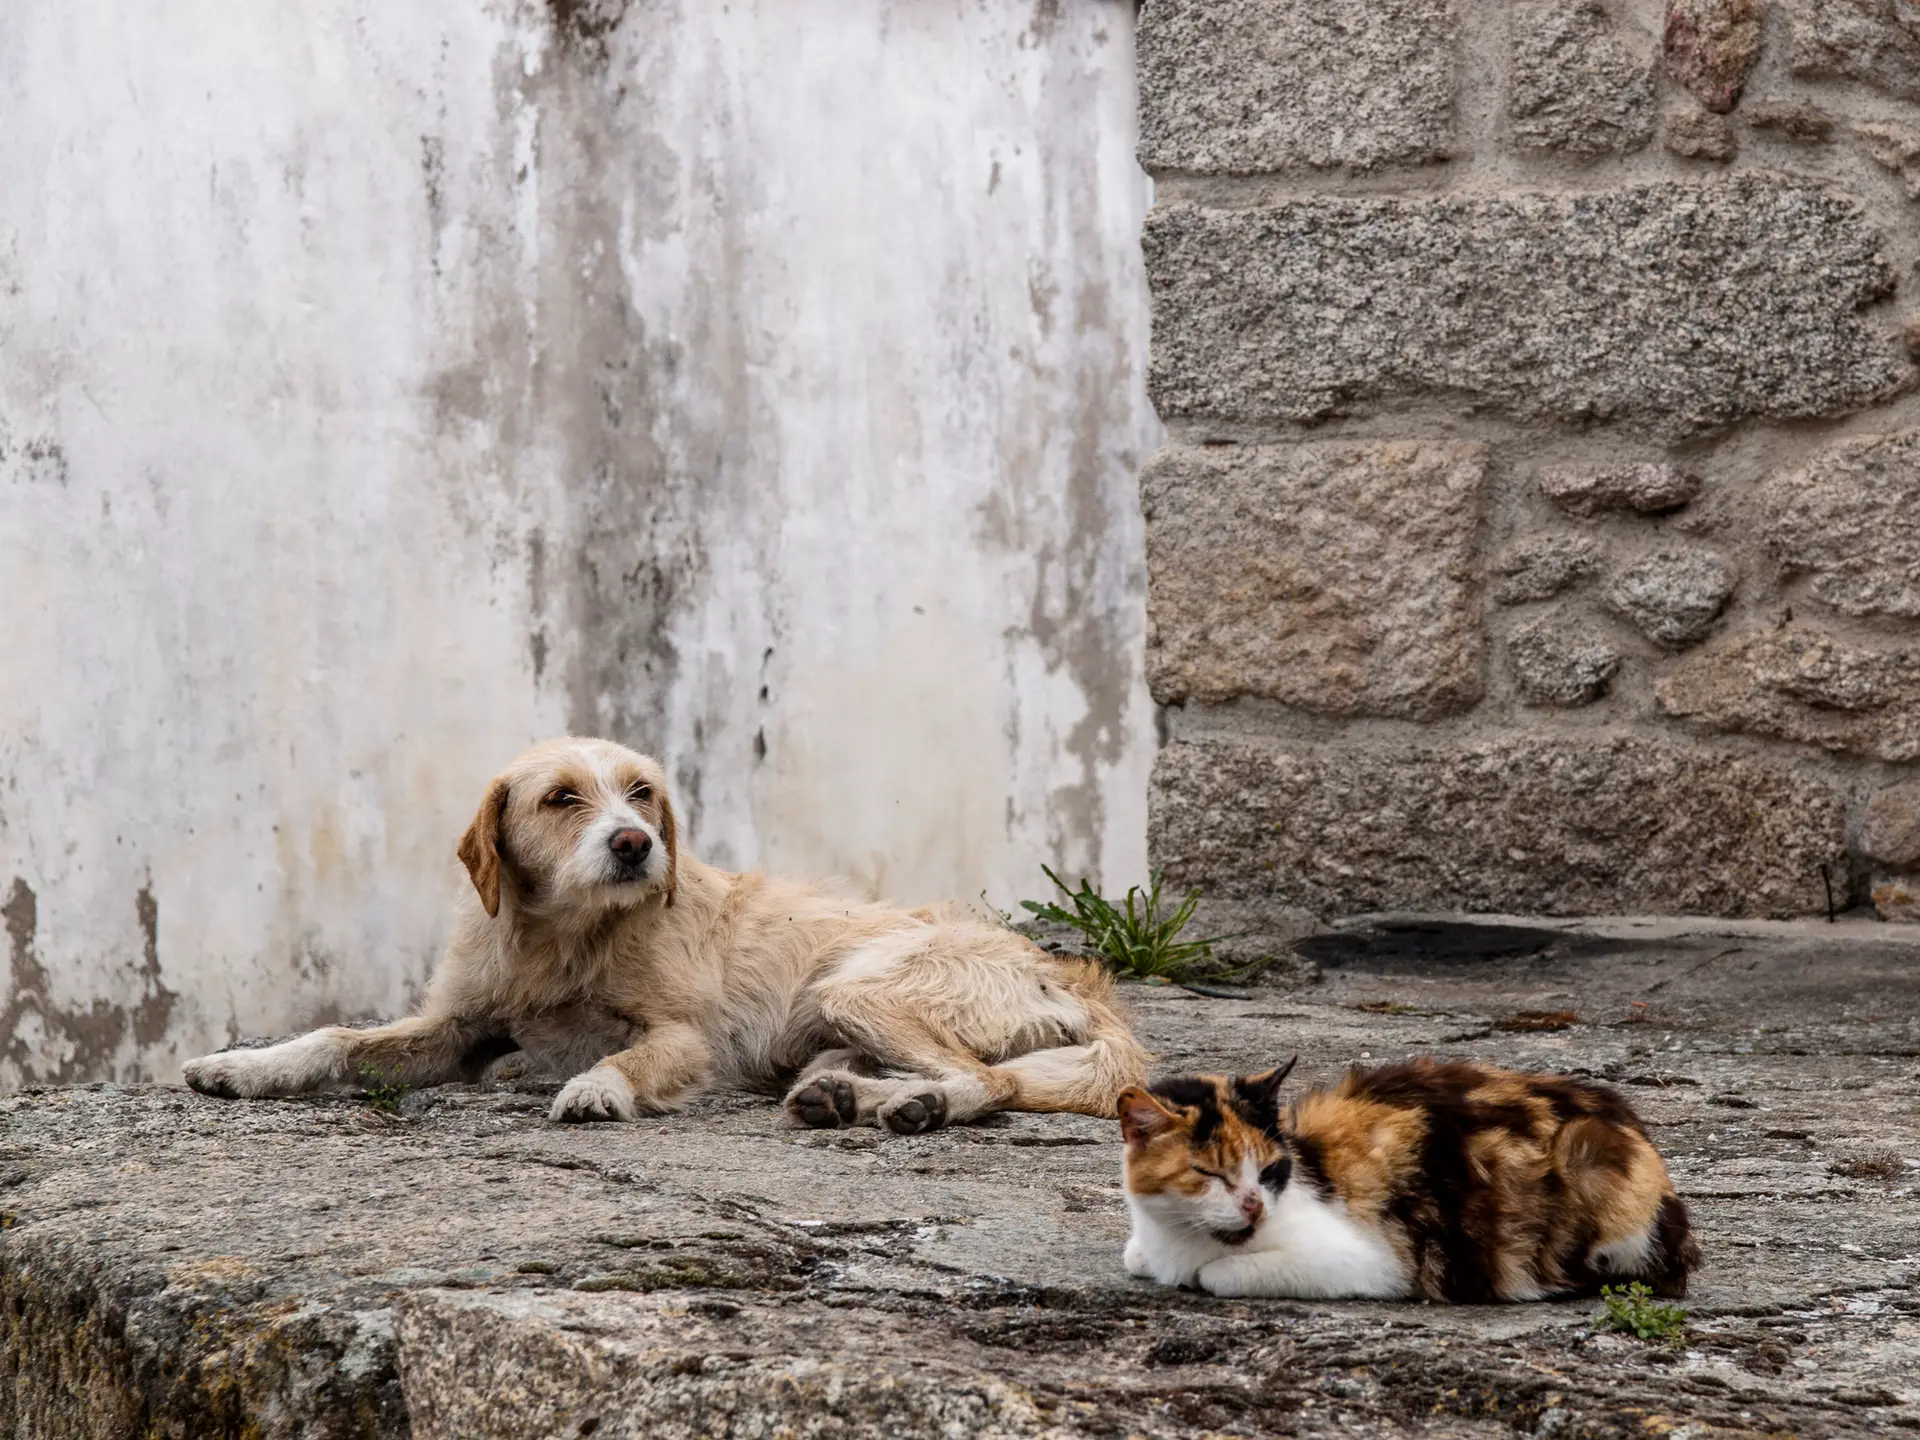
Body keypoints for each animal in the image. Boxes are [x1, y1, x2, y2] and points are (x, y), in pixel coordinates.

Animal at [180, 737, 1144, 1136]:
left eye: (642, 793)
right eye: (561, 798)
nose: (634, 844)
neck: (563, 938)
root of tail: (1072, 973)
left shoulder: (685, 1037)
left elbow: (633, 1055)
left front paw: (597, 1089)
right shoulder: (454, 1027)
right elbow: (339, 1038)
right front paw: (243, 1067)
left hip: (858, 986)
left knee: (990, 1080)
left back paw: (915, 1107)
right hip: (833, 1023)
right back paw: (850, 1098)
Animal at [1121, 1052, 1704, 1305]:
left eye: (1267, 1171)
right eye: (1208, 1173)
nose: (1253, 1205)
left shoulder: (1372, 1262)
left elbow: (1215, 1275)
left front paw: (1204, 1272)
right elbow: (1134, 1256)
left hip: (1590, 1166)